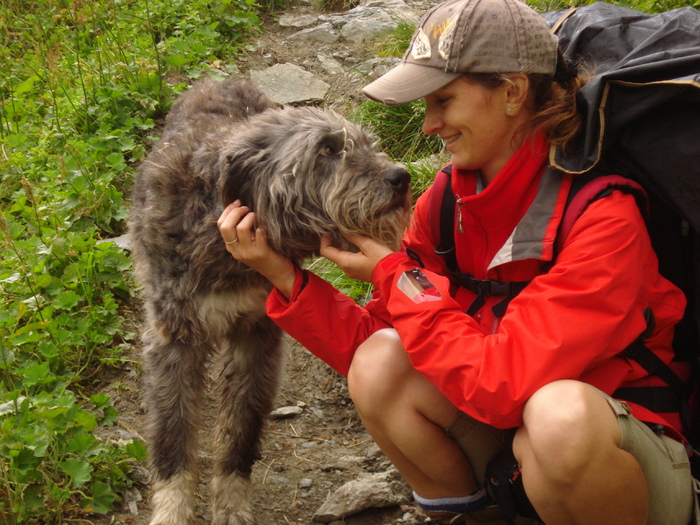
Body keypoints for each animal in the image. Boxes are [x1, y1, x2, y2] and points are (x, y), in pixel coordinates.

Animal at [127, 79, 410, 524]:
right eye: (327, 150)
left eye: (367, 143)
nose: (401, 176)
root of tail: (219, 78)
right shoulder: (174, 338)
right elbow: (172, 431)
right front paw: (172, 509)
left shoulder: (256, 336)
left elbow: (239, 429)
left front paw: (231, 505)